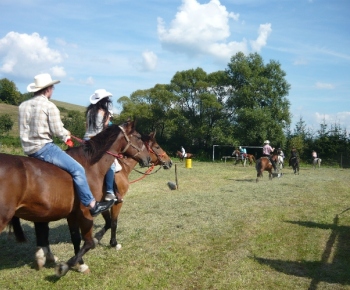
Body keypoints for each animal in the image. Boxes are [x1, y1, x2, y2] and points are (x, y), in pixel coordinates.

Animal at [2, 121, 150, 278]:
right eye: (139, 137)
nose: (147, 159)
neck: (90, 166)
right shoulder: (86, 212)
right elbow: (90, 241)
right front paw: (66, 266)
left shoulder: (72, 214)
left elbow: (76, 239)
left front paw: (80, 264)